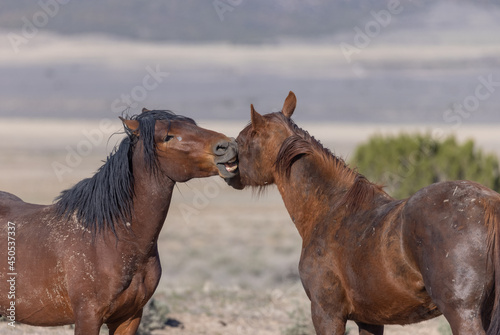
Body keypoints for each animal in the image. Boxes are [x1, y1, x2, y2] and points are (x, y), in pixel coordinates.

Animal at [0, 109, 238, 334]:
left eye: (192, 124)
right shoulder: (88, 317)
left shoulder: (129, 317)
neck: (112, 238)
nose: (228, 145)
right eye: (168, 136)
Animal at [228, 90, 500, 334]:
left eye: (241, 141)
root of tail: (488, 203)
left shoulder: (326, 314)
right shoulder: (370, 319)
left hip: (462, 315)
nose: (226, 166)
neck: (331, 209)